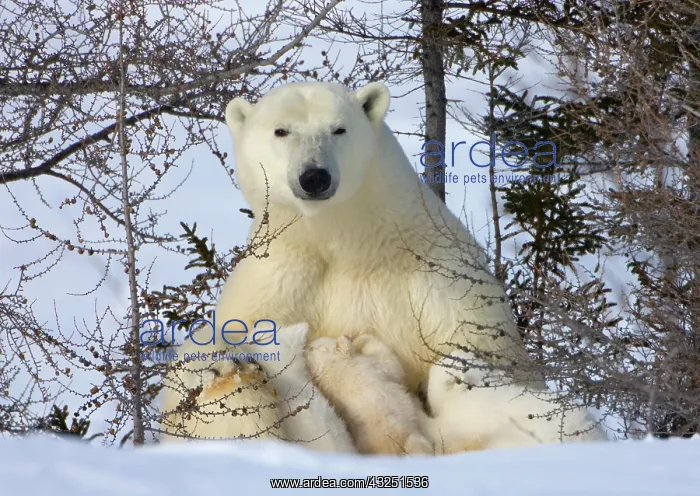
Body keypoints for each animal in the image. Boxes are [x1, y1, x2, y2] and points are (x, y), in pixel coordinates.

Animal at [305, 333, 433, 455]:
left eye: (310, 347)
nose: (307, 346)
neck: (331, 370)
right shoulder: (371, 365)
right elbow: (390, 362)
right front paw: (358, 339)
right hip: (408, 437)